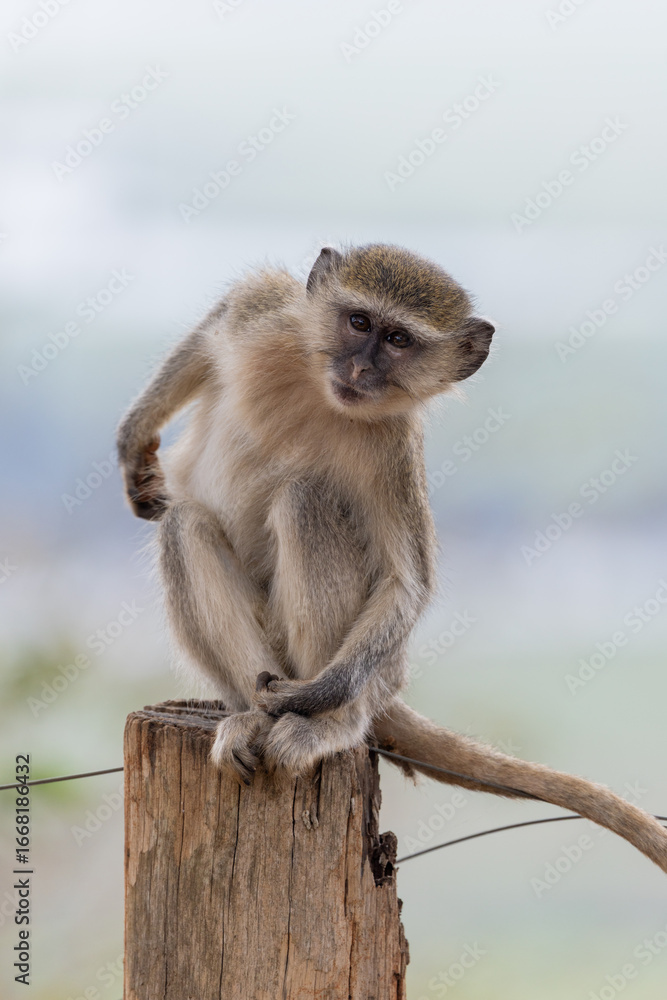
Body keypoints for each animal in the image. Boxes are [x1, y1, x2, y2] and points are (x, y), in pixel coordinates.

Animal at [117, 243, 667, 875]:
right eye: (359, 322)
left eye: (399, 340)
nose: (360, 370)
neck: (318, 391)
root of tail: (387, 686)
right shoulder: (268, 320)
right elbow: (216, 324)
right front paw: (134, 443)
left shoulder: (394, 451)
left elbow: (407, 582)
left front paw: (316, 697)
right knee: (183, 525)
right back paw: (253, 718)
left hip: (367, 669)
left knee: (305, 500)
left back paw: (330, 724)